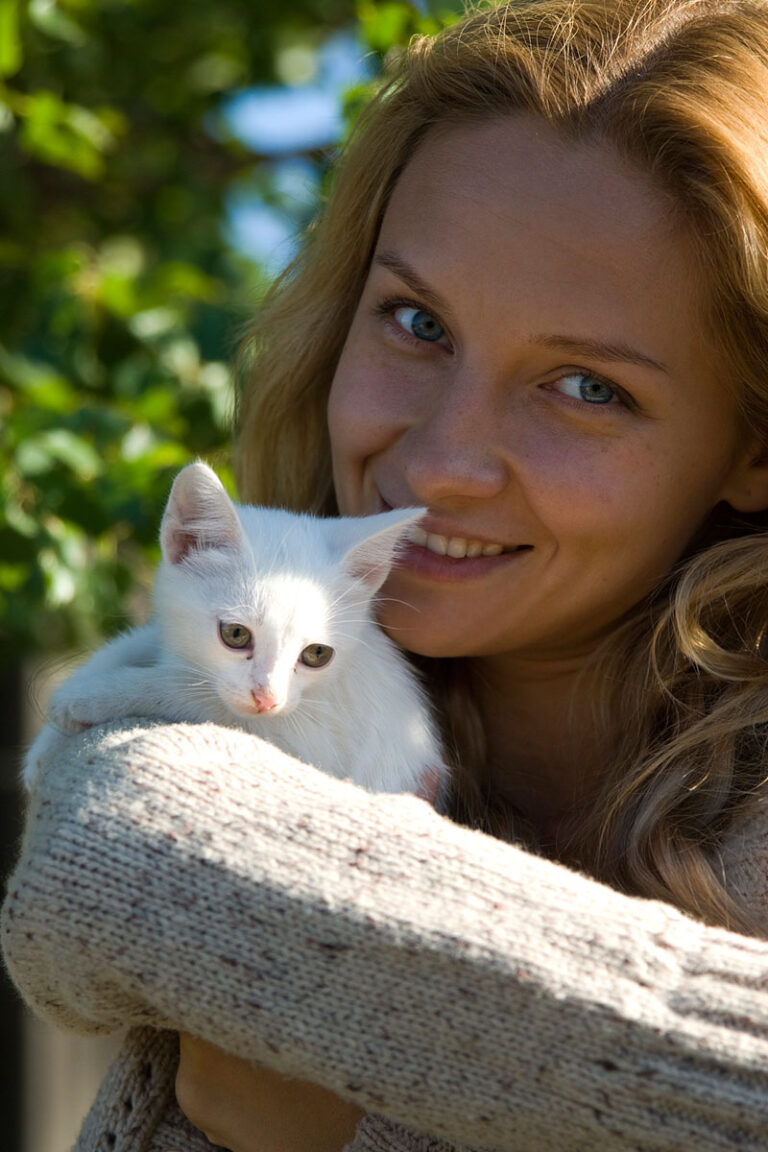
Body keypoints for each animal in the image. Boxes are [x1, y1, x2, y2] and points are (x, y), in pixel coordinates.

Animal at [25, 463, 444, 797]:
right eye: (236, 635)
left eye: (317, 654)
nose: (267, 699)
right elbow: (139, 643)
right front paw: (45, 745)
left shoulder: (321, 743)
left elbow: (198, 696)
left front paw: (91, 696)